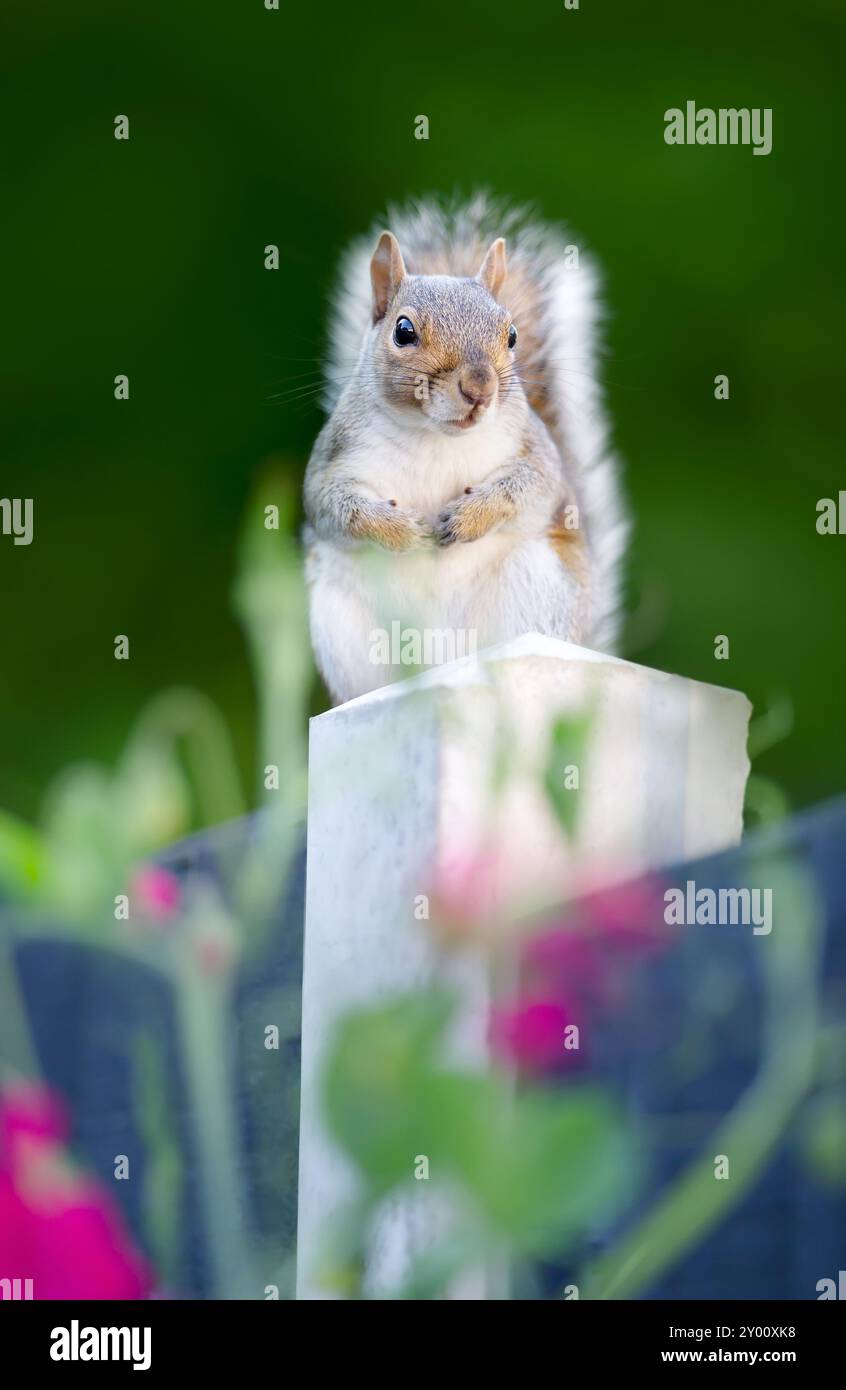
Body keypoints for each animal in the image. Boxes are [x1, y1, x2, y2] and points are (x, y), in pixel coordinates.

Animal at [302, 193, 627, 706]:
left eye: (511, 335)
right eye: (403, 331)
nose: (479, 388)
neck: (434, 436)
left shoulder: (535, 451)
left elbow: (531, 487)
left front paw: (469, 517)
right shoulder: (332, 458)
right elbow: (333, 506)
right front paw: (401, 530)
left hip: (538, 591)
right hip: (341, 622)